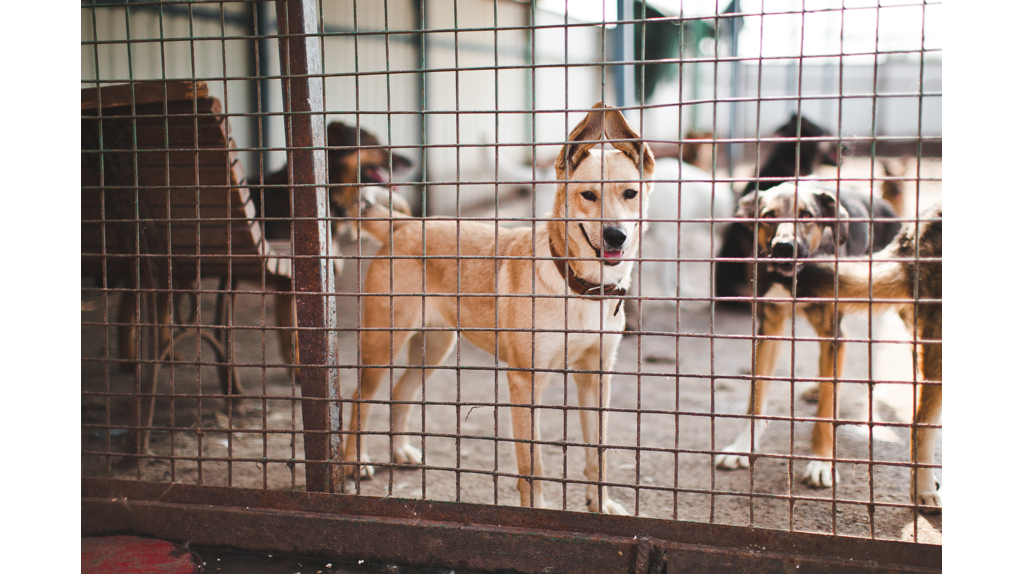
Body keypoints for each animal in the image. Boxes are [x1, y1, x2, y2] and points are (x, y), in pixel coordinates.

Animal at [339, 103, 651, 515]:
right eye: (588, 194)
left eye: (630, 193)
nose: (617, 236)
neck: (577, 286)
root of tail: (403, 225)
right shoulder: (525, 380)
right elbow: (532, 464)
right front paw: (536, 511)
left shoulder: (596, 376)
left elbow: (597, 453)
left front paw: (600, 505)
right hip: (381, 347)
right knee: (360, 397)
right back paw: (354, 461)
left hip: (434, 349)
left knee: (400, 392)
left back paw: (400, 451)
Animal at [716, 181, 901, 491]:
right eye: (767, 216)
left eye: (806, 215)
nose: (783, 247)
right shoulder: (770, 329)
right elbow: (756, 397)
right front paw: (742, 447)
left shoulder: (832, 334)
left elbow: (826, 410)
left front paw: (821, 463)